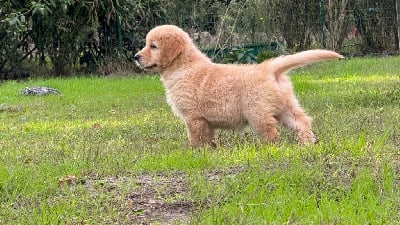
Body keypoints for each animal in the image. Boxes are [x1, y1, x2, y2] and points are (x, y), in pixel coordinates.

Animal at [135, 25, 344, 148]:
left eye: (153, 46)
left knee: (271, 132)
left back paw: (271, 149)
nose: (136, 57)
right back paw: (307, 144)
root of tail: (268, 68)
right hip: (285, 107)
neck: (184, 67)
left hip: (257, 112)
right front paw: (211, 150)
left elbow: (196, 138)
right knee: (302, 121)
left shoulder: (193, 117)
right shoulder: (204, 121)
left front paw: (196, 152)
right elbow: (208, 138)